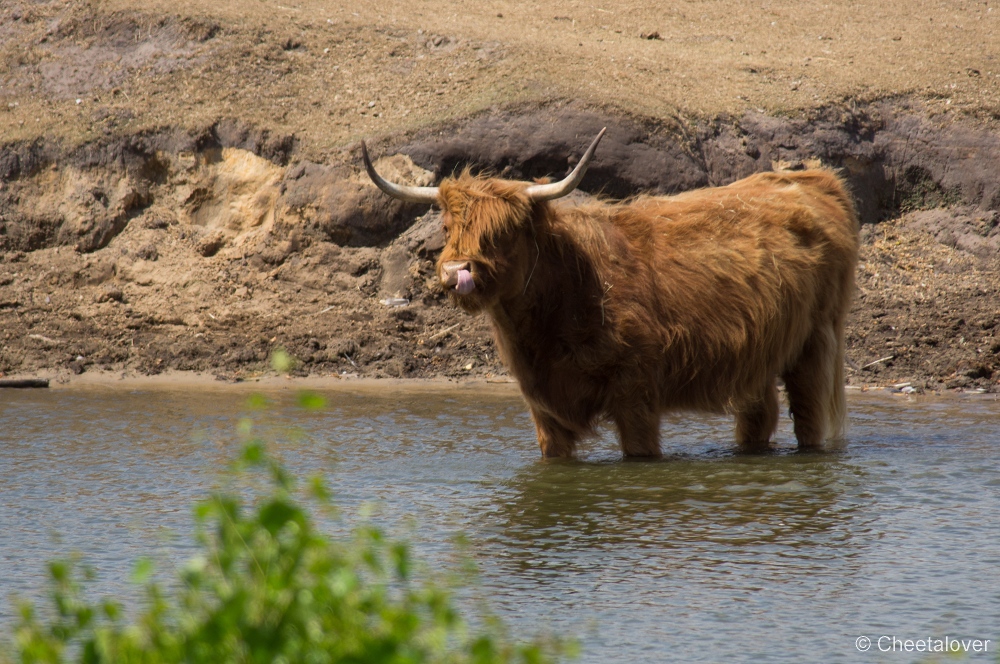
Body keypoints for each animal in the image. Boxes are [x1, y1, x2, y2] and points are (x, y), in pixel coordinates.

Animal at [362, 129, 860, 456]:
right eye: (448, 228)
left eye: (503, 232)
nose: (456, 272)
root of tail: (815, 180)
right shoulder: (544, 409)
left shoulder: (636, 393)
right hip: (756, 355)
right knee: (759, 416)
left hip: (816, 341)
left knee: (809, 417)